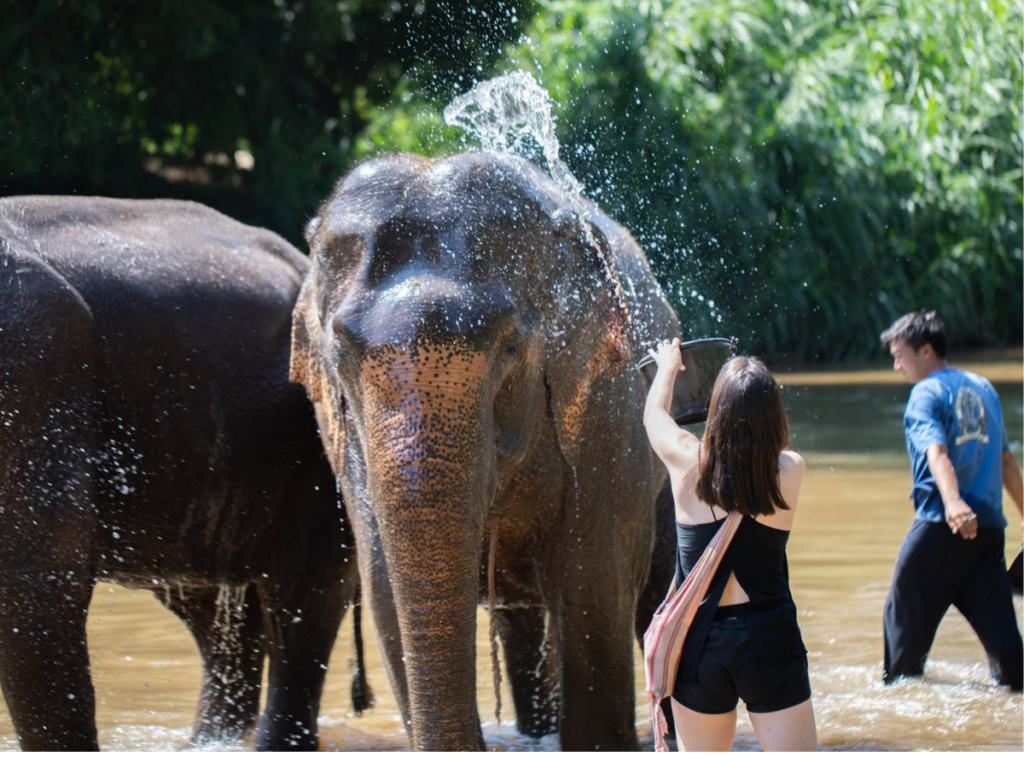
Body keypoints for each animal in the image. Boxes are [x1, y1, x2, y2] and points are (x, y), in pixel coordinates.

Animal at [290, 151, 708, 750]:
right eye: (340, 352)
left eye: (510, 346)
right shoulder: (345, 444)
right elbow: (387, 597)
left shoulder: (604, 415)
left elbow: (592, 589)